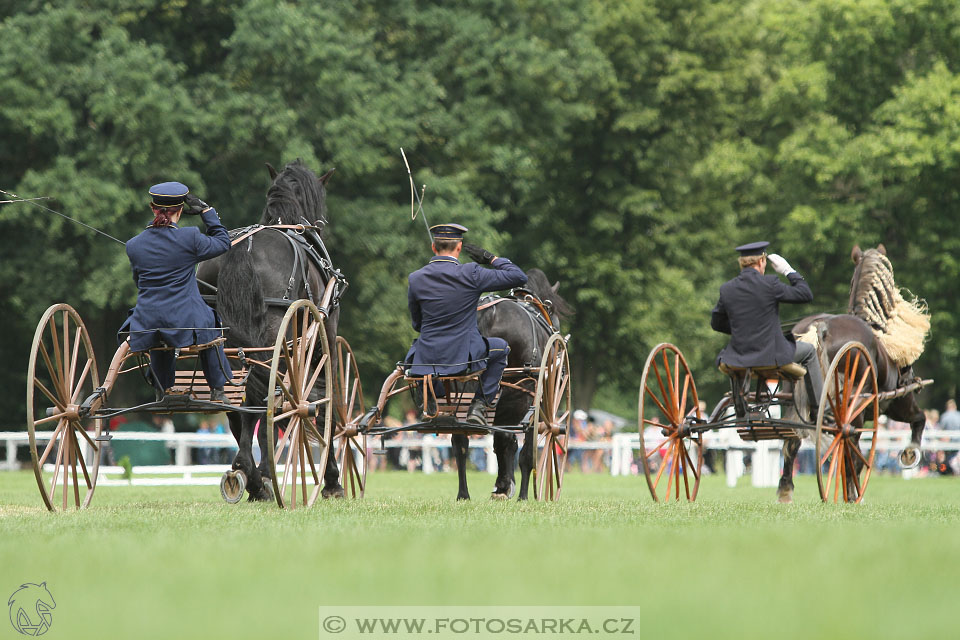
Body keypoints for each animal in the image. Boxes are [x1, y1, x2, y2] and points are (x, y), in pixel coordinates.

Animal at [197, 160, 344, 500]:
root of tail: (242, 249)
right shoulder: (326, 336)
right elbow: (327, 400)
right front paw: (332, 481)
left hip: (225, 342)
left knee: (235, 403)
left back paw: (248, 474)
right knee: (261, 400)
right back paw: (254, 475)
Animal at [448, 268, 572, 502]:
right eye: (551, 308)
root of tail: (487, 314)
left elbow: (502, 442)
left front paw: (502, 485)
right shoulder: (534, 402)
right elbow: (518, 446)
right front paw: (510, 488)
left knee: (460, 441)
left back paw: (463, 494)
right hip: (525, 396)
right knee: (522, 449)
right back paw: (522, 495)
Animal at [780, 242, 928, 502]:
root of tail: (820, 327)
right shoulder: (897, 401)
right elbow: (919, 418)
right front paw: (911, 453)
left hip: (795, 399)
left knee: (792, 439)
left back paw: (786, 491)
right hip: (854, 404)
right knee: (849, 443)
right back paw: (851, 493)